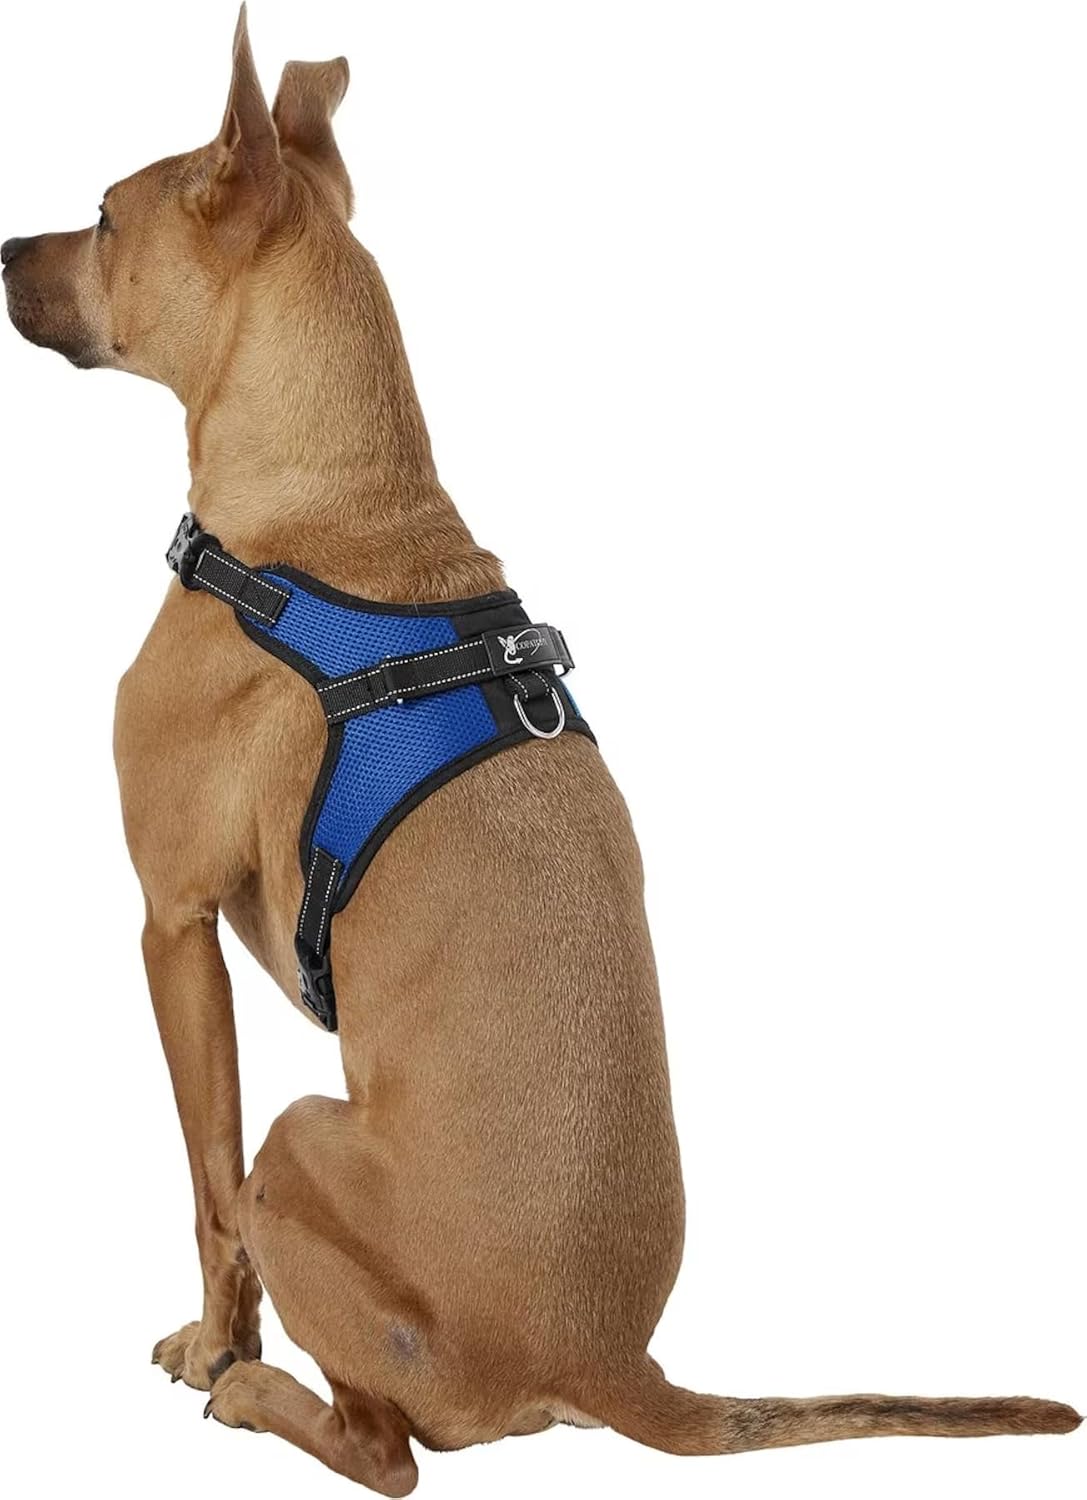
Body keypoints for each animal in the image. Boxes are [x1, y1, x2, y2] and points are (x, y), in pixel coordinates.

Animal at [3, 7, 1079, 1493]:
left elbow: (204, 1189)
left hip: (300, 1138)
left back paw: (264, 1398)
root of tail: (608, 1362)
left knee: (385, 1449)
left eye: (103, 217)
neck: (335, 513)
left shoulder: (169, 925)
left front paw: (218, 1346)